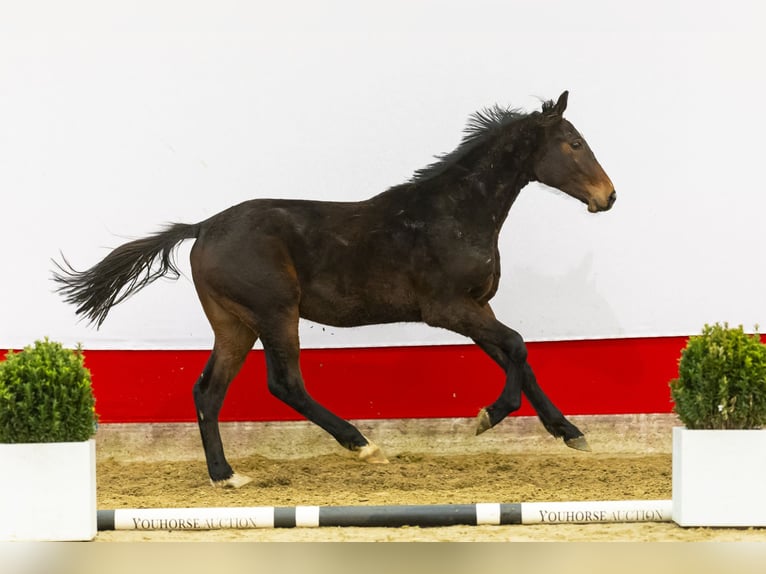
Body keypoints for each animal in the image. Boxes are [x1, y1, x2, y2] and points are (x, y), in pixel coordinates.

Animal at [52, 92, 616, 488]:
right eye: (574, 143)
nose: (608, 196)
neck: (453, 215)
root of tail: (203, 227)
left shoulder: (477, 306)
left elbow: (517, 356)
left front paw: (571, 434)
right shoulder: (448, 308)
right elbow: (517, 346)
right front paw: (486, 418)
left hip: (234, 324)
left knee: (208, 391)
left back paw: (226, 476)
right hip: (276, 312)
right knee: (284, 384)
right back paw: (363, 445)